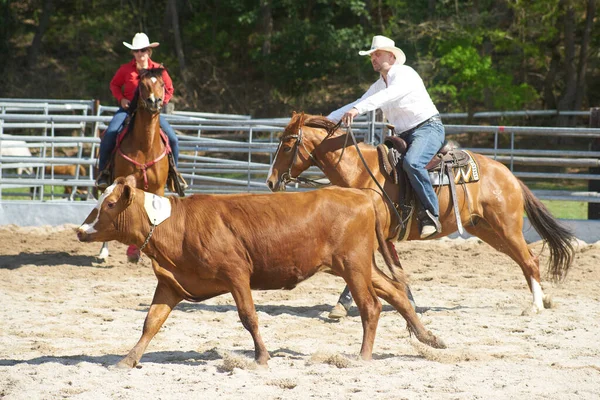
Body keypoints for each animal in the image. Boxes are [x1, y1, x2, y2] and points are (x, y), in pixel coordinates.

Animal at [75, 176, 442, 368]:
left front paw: (261, 356)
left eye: (110, 204)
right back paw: (428, 337)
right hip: (359, 266)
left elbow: (248, 316)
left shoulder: (236, 274)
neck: (176, 225)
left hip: (353, 265)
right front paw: (127, 360)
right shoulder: (171, 284)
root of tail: (363, 197)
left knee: (371, 306)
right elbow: (151, 322)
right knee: (395, 291)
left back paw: (363, 357)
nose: (81, 230)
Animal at [268, 113, 576, 316]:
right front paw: (407, 301)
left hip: (506, 227)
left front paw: (341, 307)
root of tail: (509, 174)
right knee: (525, 260)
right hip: (487, 230)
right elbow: (396, 270)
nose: (271, 181)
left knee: (529, 259)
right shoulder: (383, 237)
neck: (362, 173)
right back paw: (544, 298)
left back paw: (536, 305)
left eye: (287, 145)